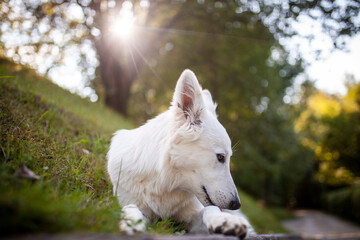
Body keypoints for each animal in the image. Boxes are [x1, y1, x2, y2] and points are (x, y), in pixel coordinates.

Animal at [106, 69, 253, 238]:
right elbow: (130, 207)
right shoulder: (129, 201)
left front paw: (225, 220)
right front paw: (131, 223)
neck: (163, 181)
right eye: (221, 157)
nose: (236, 204)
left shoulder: (193, 216)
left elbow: (210, 209)